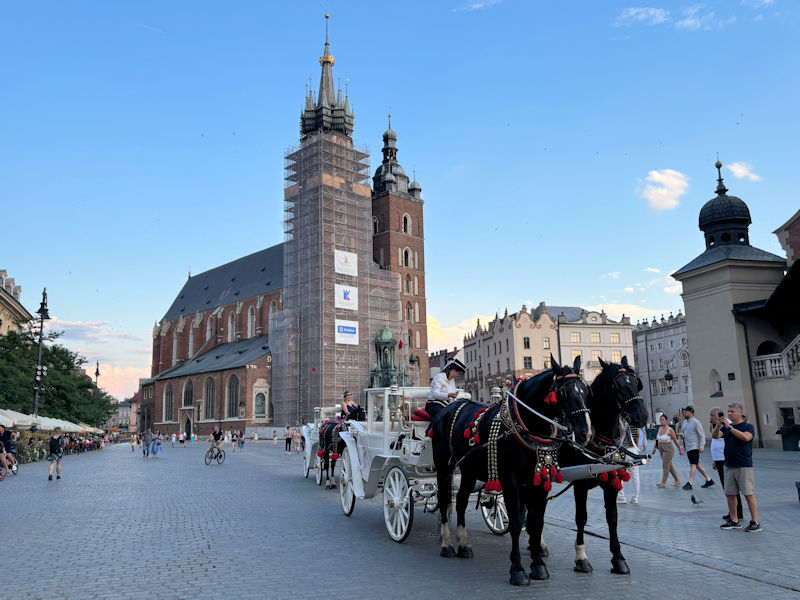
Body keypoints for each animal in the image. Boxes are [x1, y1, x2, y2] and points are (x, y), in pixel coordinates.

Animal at [432, 356, 592, 584]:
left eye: (585, 391)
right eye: (562, 393)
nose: (585, 433)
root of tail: (449, 408)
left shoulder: (539, 481)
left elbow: (536, 523)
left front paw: (538, 566)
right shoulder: (511, 481)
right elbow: (516, 523)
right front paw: (517, 570)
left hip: (469, 470)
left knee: (461, 500)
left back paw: (464, 544)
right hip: (443, 466)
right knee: (444, 500)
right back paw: (447, 544)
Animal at [560, 358, 648, 576]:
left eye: (636, 383)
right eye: (616, 386)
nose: (642, 416)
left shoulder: (611, 483)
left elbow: (612, 518)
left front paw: (618, 558)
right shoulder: (580, 483)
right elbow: (581, 518)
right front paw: (581, 558)